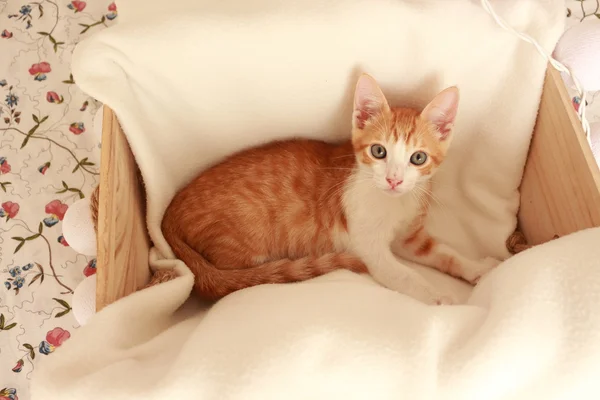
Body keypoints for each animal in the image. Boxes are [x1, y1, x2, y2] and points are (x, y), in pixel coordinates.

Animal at [162, 73, 500, 304]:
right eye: (379, 151)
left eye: (418, 158)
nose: (394, 179)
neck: (393, 203)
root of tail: (168, 214)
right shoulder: (370, 248)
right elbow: (406, 275)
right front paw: (442, 299)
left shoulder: (410, 238)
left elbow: (445, 253)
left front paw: (476, 268)